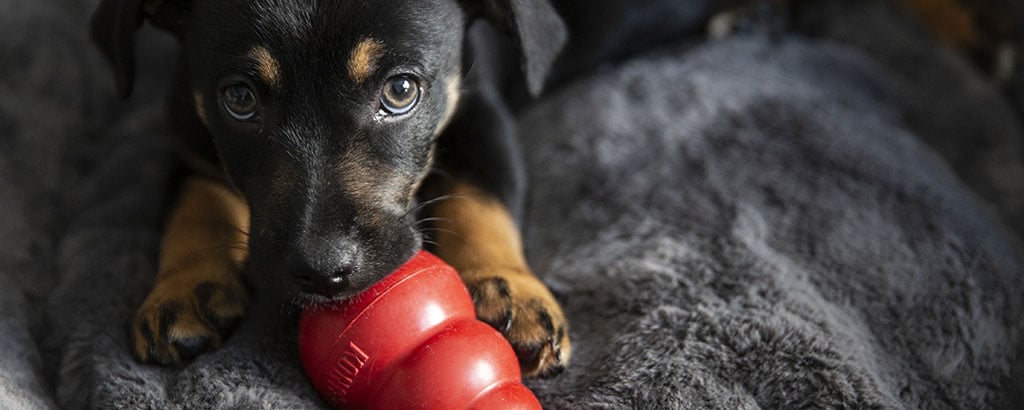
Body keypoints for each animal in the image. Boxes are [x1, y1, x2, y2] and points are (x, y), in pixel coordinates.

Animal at [92, 0, 573, 377]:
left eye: (401, 90)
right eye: (240, 99)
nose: (323, 272)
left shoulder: (483, 115)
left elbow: (481, 200)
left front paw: (509, 288)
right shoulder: (187, 130)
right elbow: (196, 204)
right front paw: (183, 288)